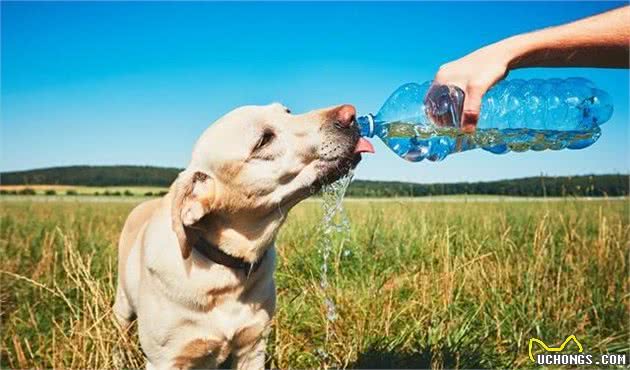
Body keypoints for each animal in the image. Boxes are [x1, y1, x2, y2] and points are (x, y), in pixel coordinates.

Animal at [113, 103, 376, 370]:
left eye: (287, 111)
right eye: (264, 140)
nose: (350, 114)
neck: (225, 271)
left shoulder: (253, 346)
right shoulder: (165, 359)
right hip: (123, 305)